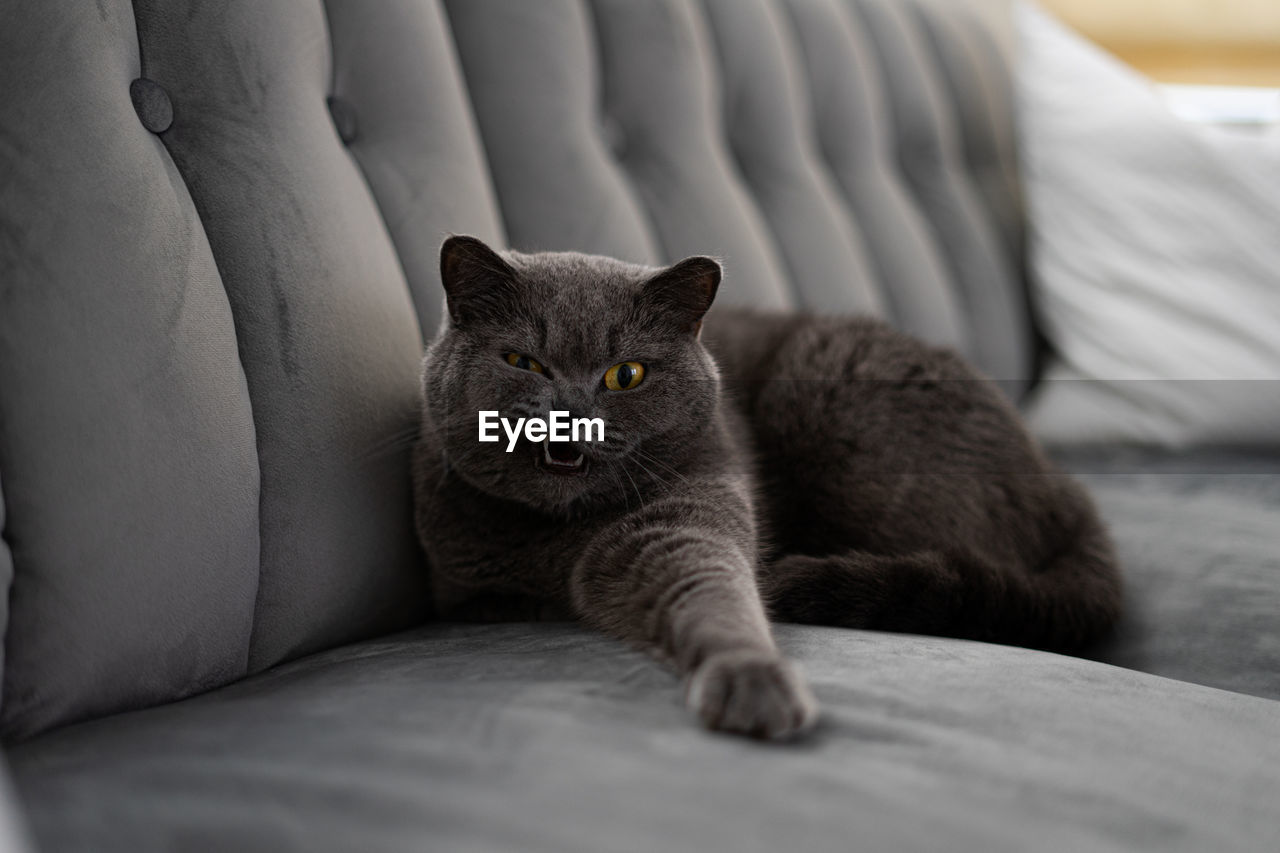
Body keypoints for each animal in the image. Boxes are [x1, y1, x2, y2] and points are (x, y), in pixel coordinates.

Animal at [412, 234, 1121, 737]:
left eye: (626, 375)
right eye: (523, 362)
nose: (570, 417)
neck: (559, 532)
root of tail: (1068, 494)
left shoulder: (694, 499)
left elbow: (706, 582)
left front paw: (750, 679)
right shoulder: (458, 576)